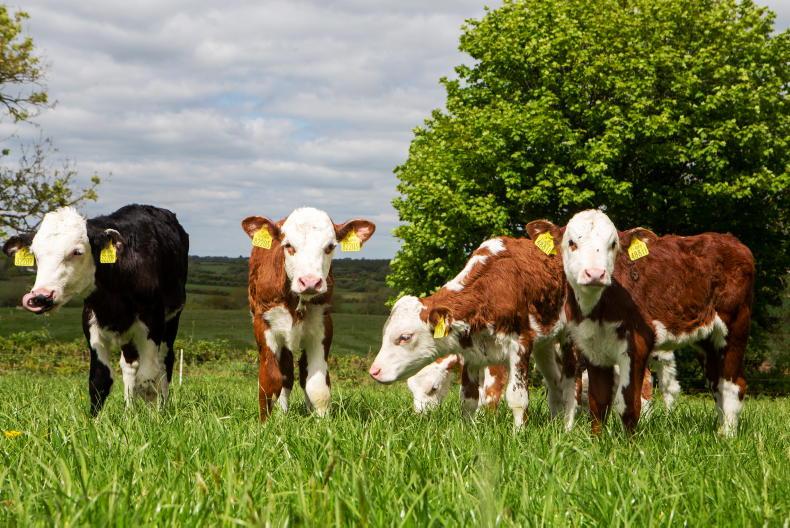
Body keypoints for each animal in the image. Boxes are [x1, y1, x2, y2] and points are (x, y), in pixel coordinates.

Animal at [2, 205, 189, 415]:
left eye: (77, 251)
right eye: (35, 253)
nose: (40, 297)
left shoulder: (152, 324)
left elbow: (147, 381)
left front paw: (153, 418)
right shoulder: (91, 324)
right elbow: (99, 380)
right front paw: (95, 420)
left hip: (171, 321)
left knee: (165, 363)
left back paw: (162, 408)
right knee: (130, 365)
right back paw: (128, 411)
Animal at [241, 207, 375, 420]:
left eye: (330, 247)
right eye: (288, 245)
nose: (310, 281)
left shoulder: (322, 326)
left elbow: (317, 385)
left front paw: (322, 422)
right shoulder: (264, 324)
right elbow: (270, 380)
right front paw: (266, 424)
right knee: (286, 374)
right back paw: (282, 414)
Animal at [369, 236, 578, 430]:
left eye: (404, 337)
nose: (374, 371)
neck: (491, 290)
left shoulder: (518, 345)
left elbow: (514, 397)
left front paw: (518, 434)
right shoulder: (472, 354)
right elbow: (468, 399)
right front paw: (469, 432)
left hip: (569, 336)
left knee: (570, 385)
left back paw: (567, 427)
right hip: (544, 343)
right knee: (554, 383)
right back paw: (554, 422)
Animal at [527, 210, 754, 436]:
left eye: (614, 244)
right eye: (571, 242)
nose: (595, 274)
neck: (598, 308)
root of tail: (730, 240)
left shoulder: (637, 343)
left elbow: (628, 402)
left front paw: (628, 443)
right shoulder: (591, 346)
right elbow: (598, 402)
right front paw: (596, 441)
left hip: (735, 325)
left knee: (732, 385)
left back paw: (729, 436)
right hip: (707, 339)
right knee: (717, 383)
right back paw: (721, 432)